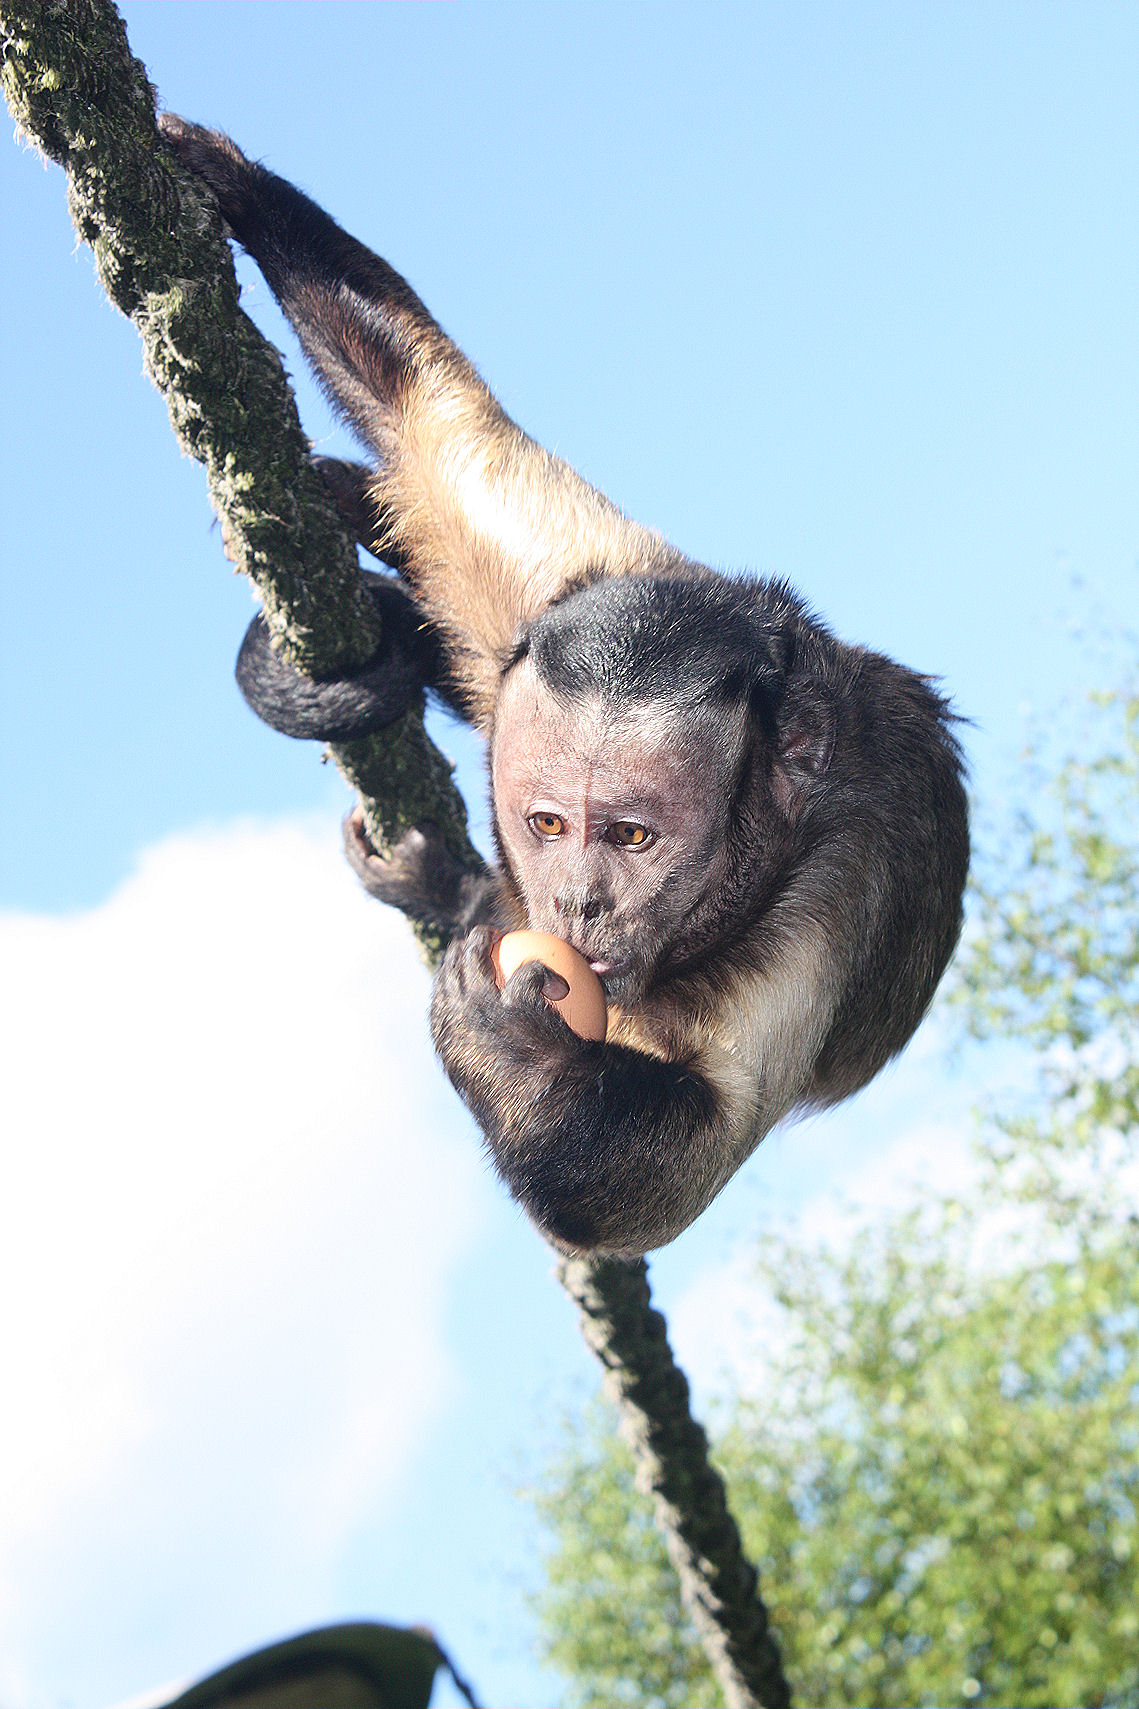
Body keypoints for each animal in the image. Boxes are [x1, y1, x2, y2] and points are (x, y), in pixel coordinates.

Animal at [161, 110, 964, 1257]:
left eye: (630, 836)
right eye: (548, 824)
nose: (577, 901)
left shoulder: (823, 893)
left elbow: (651, 1181)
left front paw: (504, 1031)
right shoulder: (545, 587)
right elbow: (425, 403)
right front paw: (233, 184)